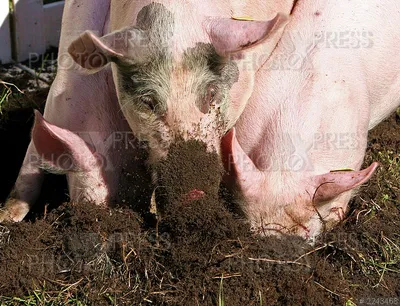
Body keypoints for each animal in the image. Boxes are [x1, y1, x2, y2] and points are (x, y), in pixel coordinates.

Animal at [0, 0, 294, 221]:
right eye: (148, 101)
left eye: (211, 94)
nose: (192, 194)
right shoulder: (54, 107)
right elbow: (28, 167)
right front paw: (7, 218)